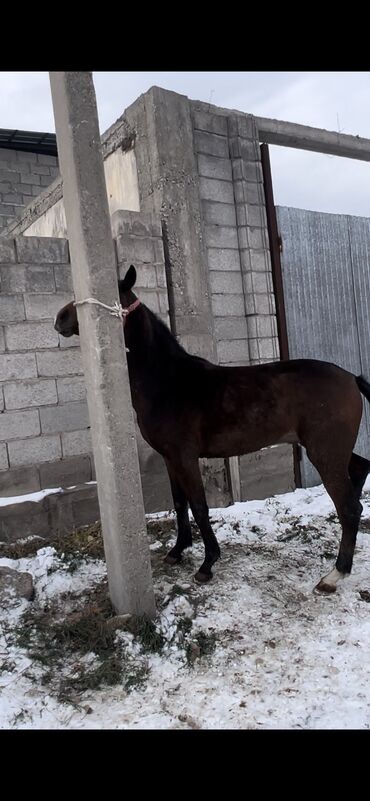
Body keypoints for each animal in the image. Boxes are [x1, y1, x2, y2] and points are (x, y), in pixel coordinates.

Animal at [53, 264, 370, 592]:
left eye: (108, 294)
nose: (60, 318)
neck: (167, 382)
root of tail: (351, 378)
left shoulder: (185, 457)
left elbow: (199, 506)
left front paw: (207, 564)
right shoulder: (169, 458)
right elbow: (179, 502)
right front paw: (177, 551)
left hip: (325, 453)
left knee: (349, 508)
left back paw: (335, 574)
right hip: (333, 451)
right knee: (360, 473)